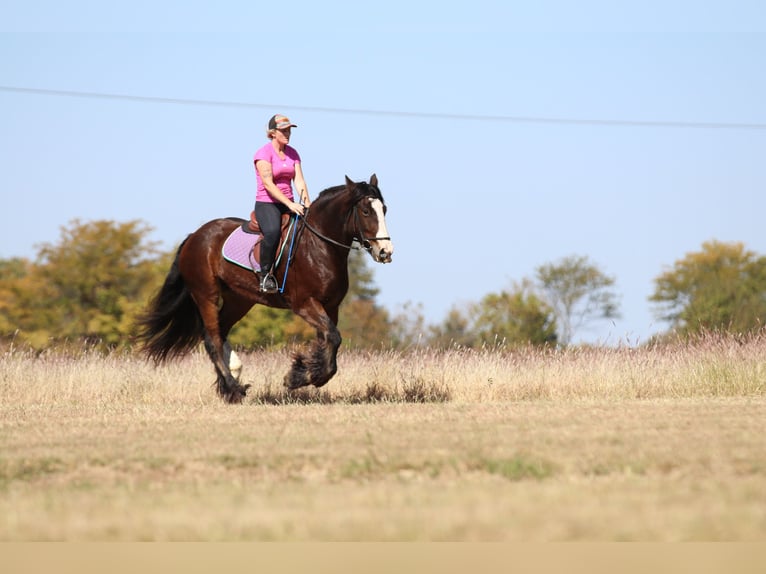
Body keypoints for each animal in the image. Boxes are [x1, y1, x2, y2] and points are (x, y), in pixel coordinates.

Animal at [134, 176, 392, 404]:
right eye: (366, 211)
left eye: (384, 209)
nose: (385, 252)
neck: (319, 246)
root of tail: (194, 237)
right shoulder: (305, 304)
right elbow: (333, 338)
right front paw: (300, 377)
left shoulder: (331, 307)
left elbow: (329, 342)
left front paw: (304, 373)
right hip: (206, 295)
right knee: (212, 339)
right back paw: (234, 388)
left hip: (239, 300)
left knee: (220, 331)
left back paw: (231, 382)